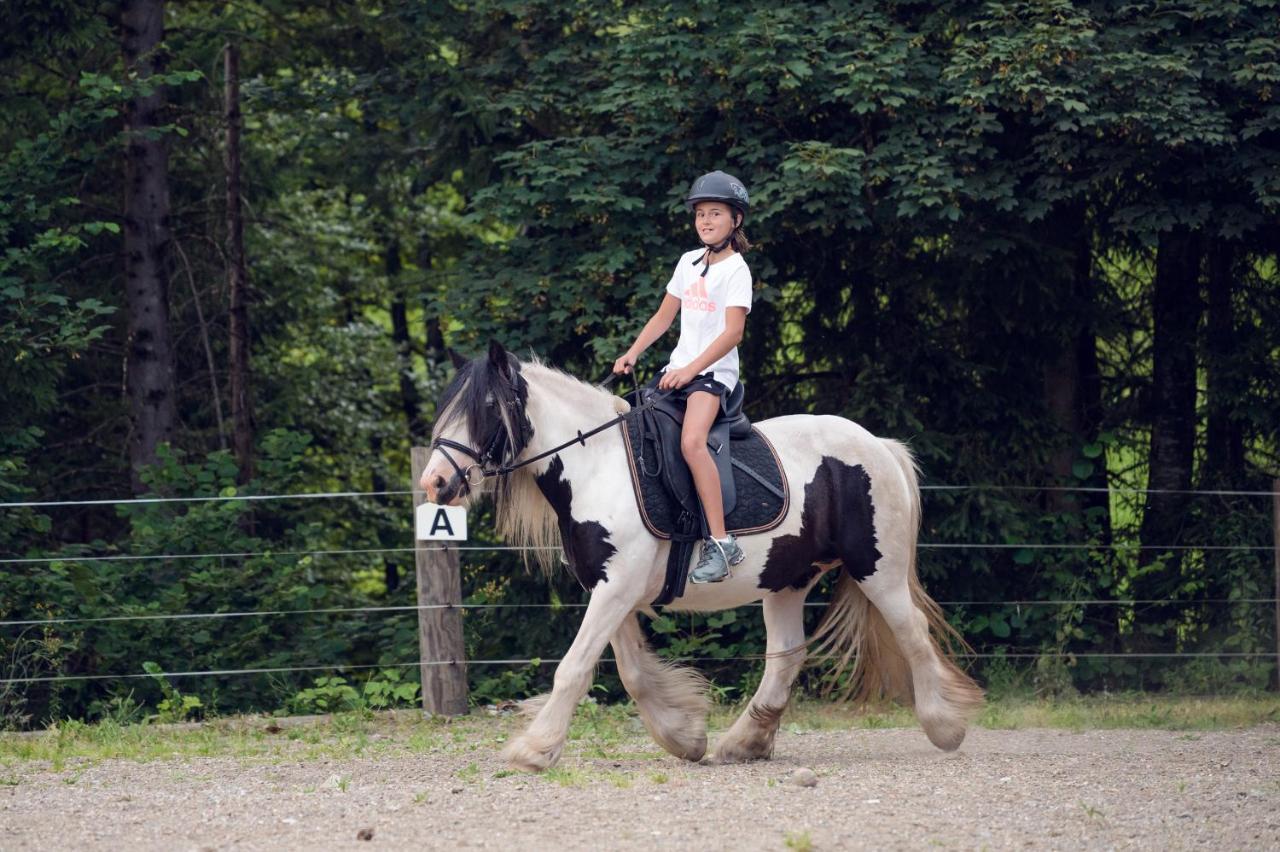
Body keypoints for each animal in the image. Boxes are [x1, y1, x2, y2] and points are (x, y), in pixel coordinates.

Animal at [424, 340, 983, 767]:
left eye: (486, 407)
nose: (435, 483)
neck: (598, 466)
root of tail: (880, 445)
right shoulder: (609, 586)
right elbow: (630, 672)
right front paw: (684, 736)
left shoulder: (617, 587)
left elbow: (575, 667)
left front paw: (535, 750)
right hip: (786, 578)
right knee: (787, 655)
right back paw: (744, 743)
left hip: (878, 570)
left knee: (912, 633)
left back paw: (945, 727)